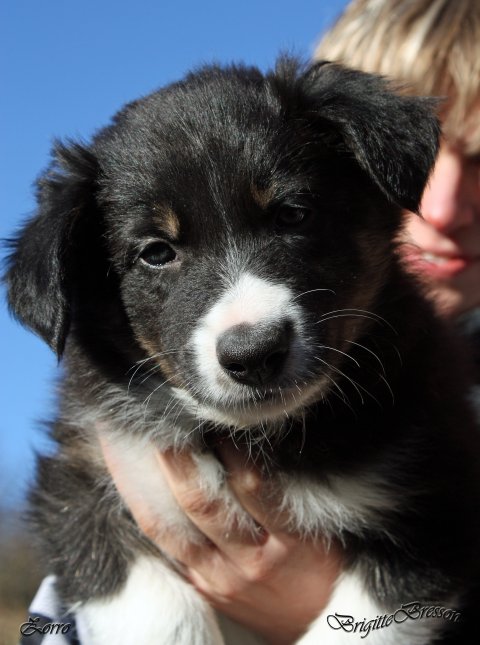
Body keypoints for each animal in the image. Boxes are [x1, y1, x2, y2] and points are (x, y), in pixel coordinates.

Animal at [6, 58, 480, 644]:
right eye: (156, 252)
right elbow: (154, 606)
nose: (254, 354)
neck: (257, 436)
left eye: (292, 214)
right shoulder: (88, 476)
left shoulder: (434, 499)